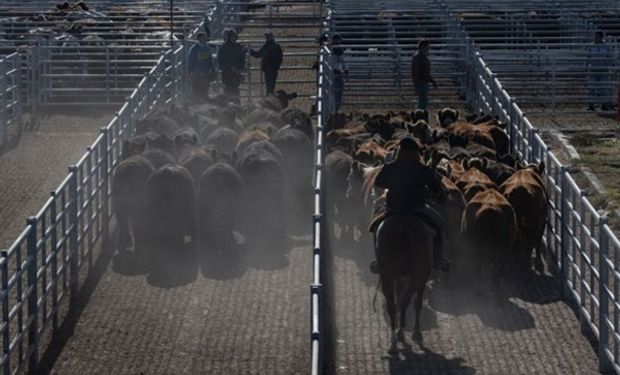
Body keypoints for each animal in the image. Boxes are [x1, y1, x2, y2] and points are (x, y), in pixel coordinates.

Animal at [376, 214, 434, 356]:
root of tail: (402, 227)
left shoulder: (398, 276)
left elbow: (399, 296)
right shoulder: (423, 278)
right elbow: (417, 303)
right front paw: (416, 333)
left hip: (387, 273)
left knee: (392, 304)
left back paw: (393, 342)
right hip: (418, 273)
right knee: (406, 300)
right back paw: (401, 332)